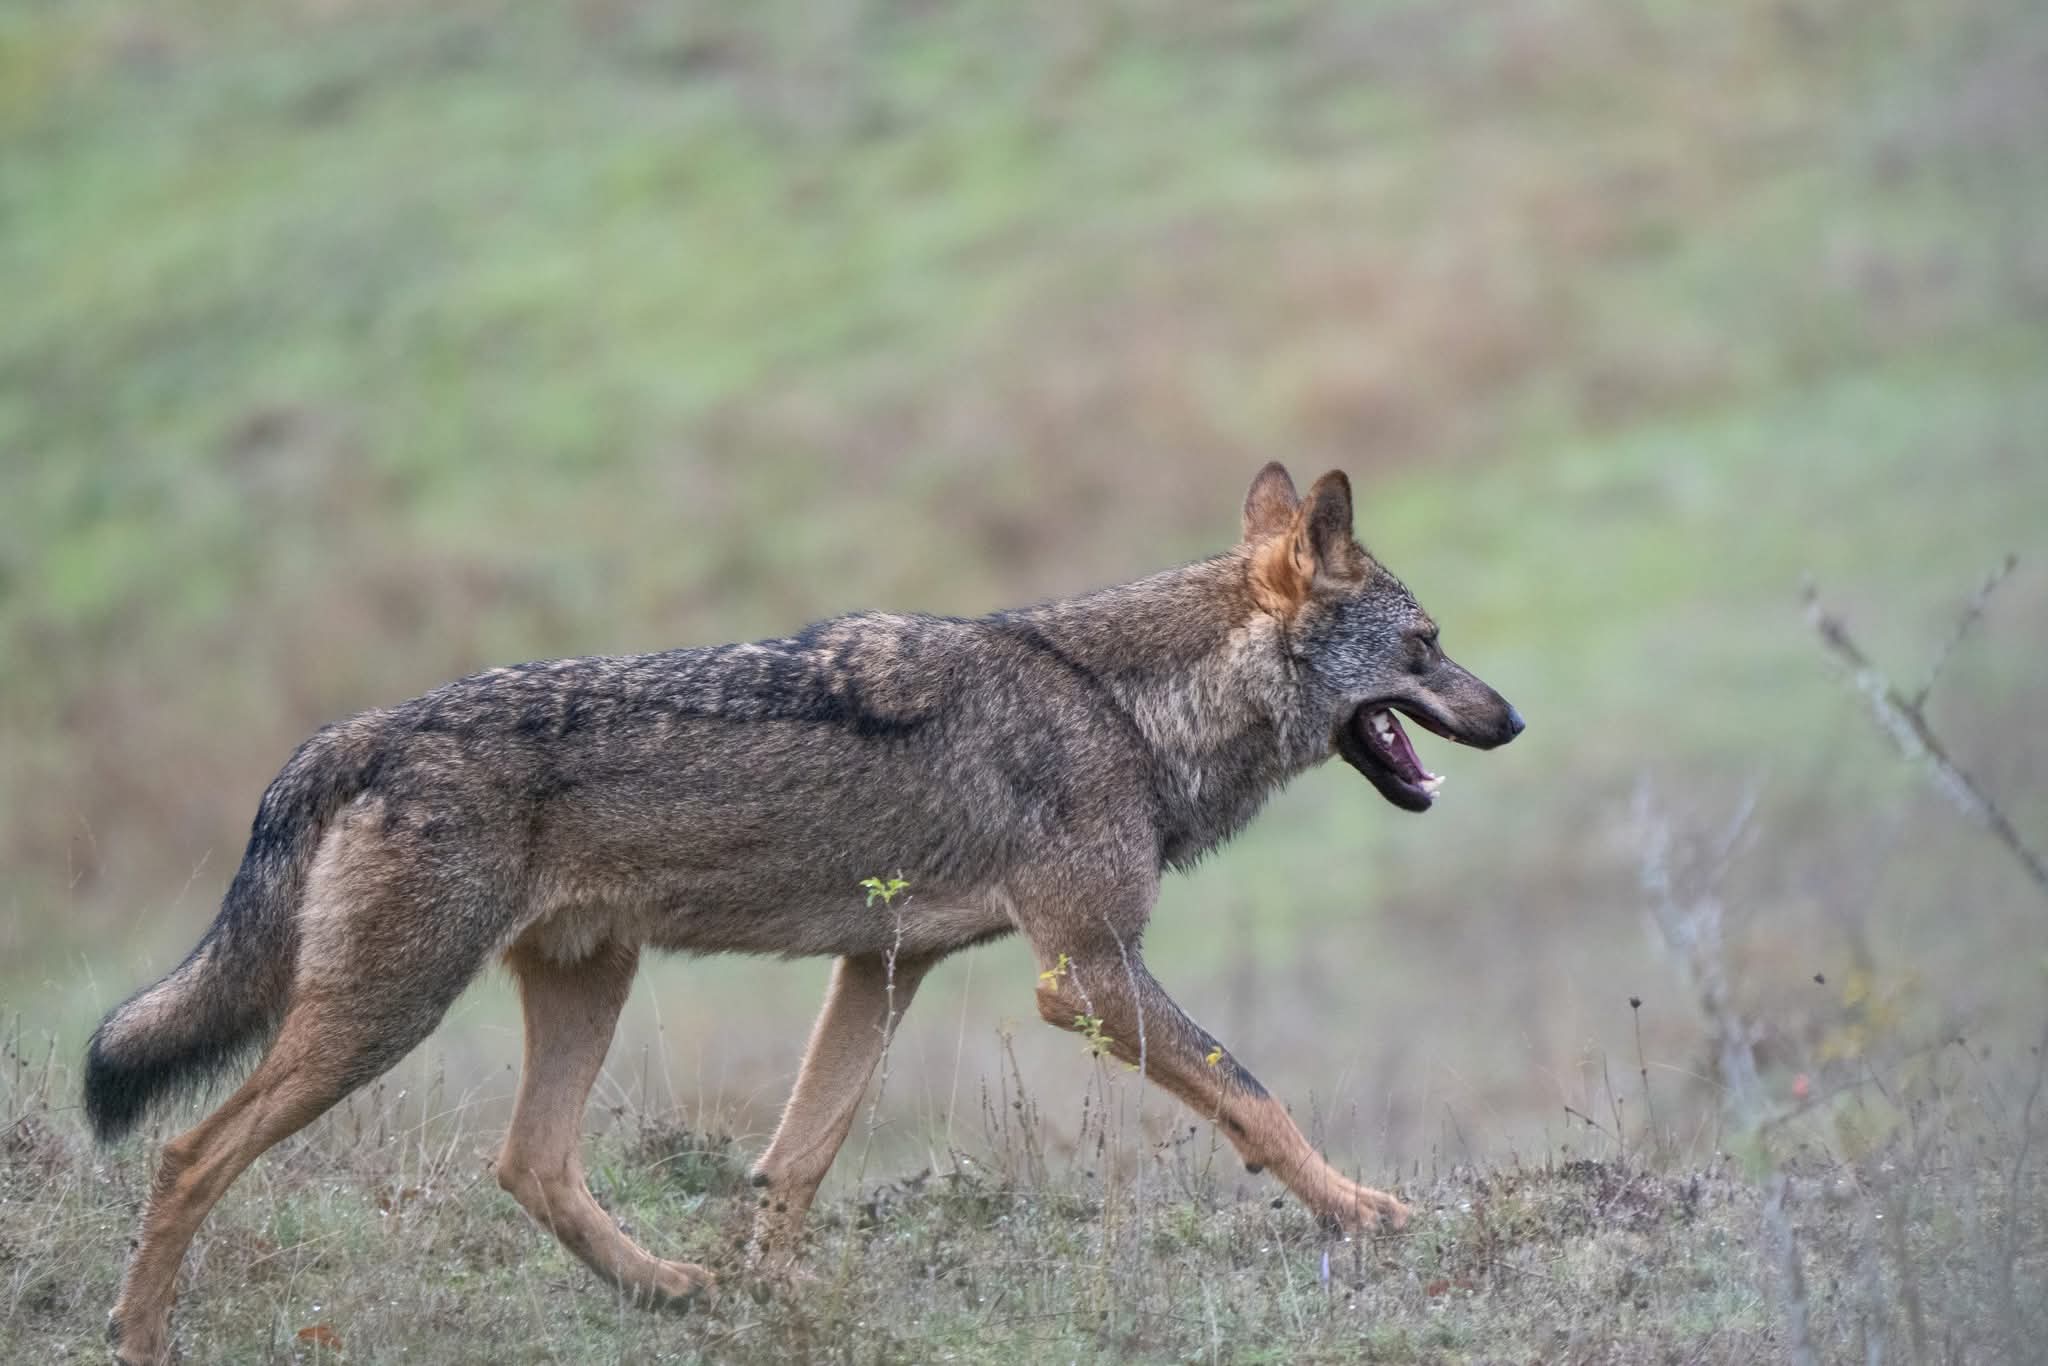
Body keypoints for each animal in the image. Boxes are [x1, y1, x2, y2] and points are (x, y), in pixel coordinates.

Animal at [84, 463, 1521, 1365]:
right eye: (1429, 645)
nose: (1512, 717)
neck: (1122, 707)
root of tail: (352, 733)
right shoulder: (1086, 970)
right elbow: (1258, 1098)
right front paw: (1368, 1213)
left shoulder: (883, 967)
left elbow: (796, 1161)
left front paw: (763, 1299)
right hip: (384, 1015)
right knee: (186, 1153)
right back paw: (139, 1337)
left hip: (582, 980)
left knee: (529, 1162)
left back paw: (670, 1290)